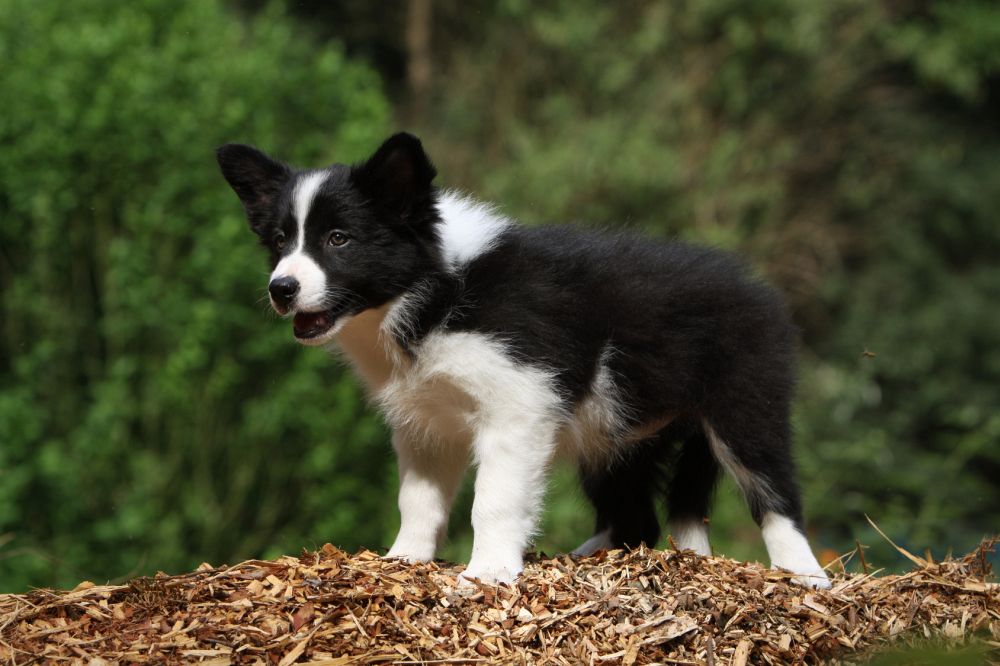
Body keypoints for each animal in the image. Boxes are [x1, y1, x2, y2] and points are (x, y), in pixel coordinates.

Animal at [221, 131, 836, 588]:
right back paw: (584, 558)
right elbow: (417, 499)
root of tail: (759, 290)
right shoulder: (425, 422)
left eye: (339, 239)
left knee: (775, 492)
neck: (435, 291)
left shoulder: (520, 401)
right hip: (615, 431)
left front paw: (488, 572)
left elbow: (493, 498)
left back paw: (804, 576)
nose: (281, 289)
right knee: (635, 519)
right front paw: (403, 561)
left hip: (743, 401)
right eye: (280, 241)